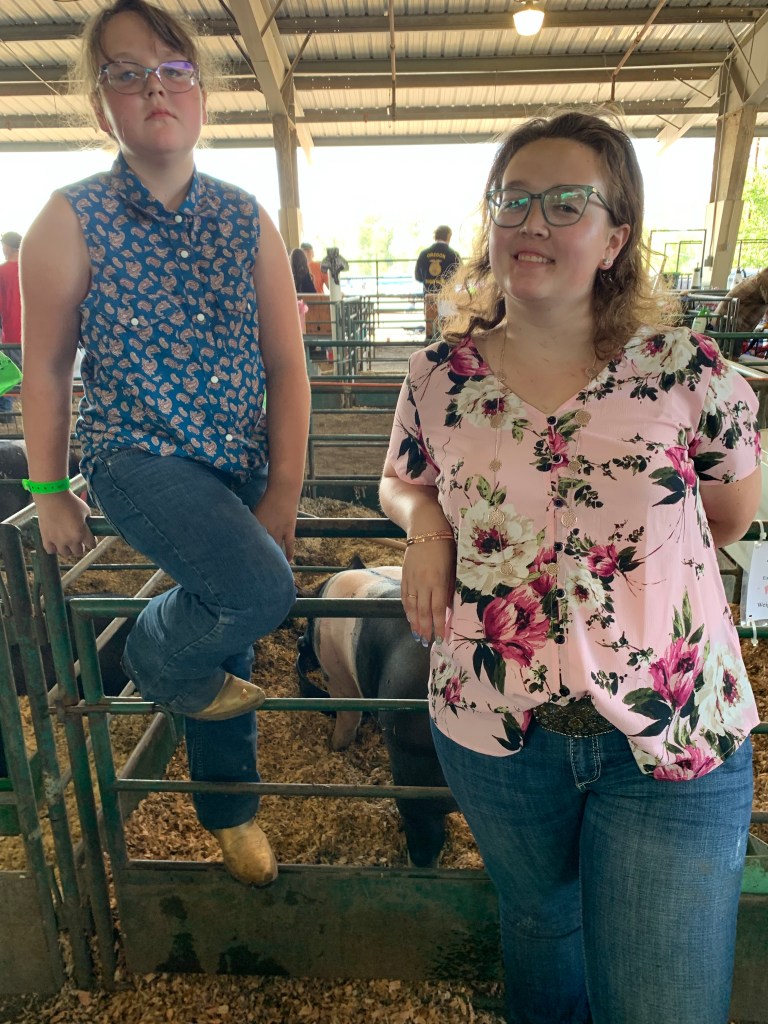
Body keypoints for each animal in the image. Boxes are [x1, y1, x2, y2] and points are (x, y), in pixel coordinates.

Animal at [296, 565, 456, 867]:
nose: (300, 641)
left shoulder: (338, 677)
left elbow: (348, 716)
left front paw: (336, 747)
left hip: (414, 775)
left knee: (425, 834)